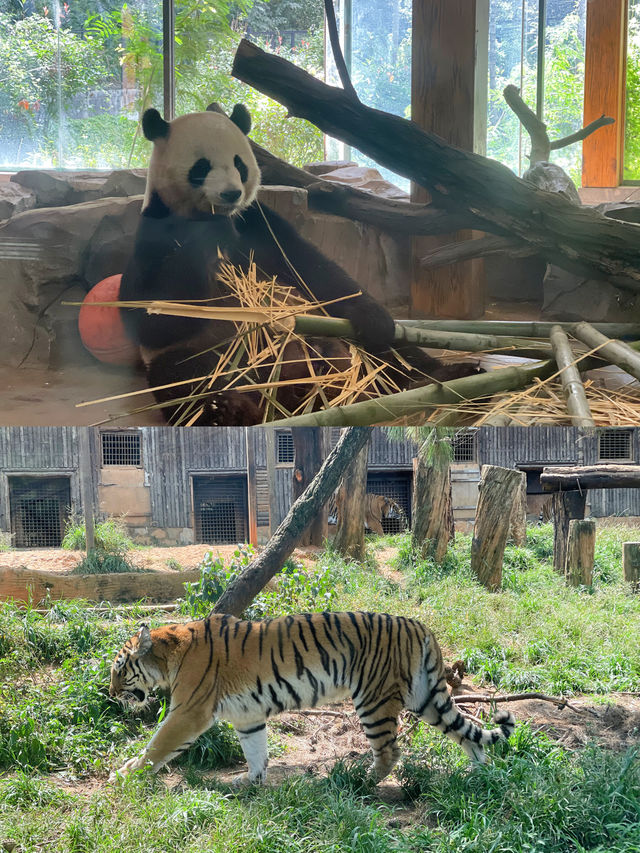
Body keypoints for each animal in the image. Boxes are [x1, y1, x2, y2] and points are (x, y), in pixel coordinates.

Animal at [107, 608, 512, 784]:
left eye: (119, 669)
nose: (110, 695)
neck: (170, 653)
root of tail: (419, 626)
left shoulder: (189, 712)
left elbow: (158, 744)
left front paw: (125, 774)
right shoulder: (247, 716)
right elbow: (256, 751)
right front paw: (249, 782)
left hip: (374, 699)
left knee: (390, 751)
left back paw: (360, 782)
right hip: (426, 698)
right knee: (466, 732)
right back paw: (480, 775)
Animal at [120, 105, 470, 424]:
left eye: (238, 163)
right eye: (201, 166)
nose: (230, 194)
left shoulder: (259, 222)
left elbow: (313, 268)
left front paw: (372, 318)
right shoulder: (156, 229)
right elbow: (153, 317)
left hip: (334, 331)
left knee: (395, 351)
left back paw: (443, 376)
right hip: (215, 354)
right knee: (186, 376)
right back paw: (231, 410)